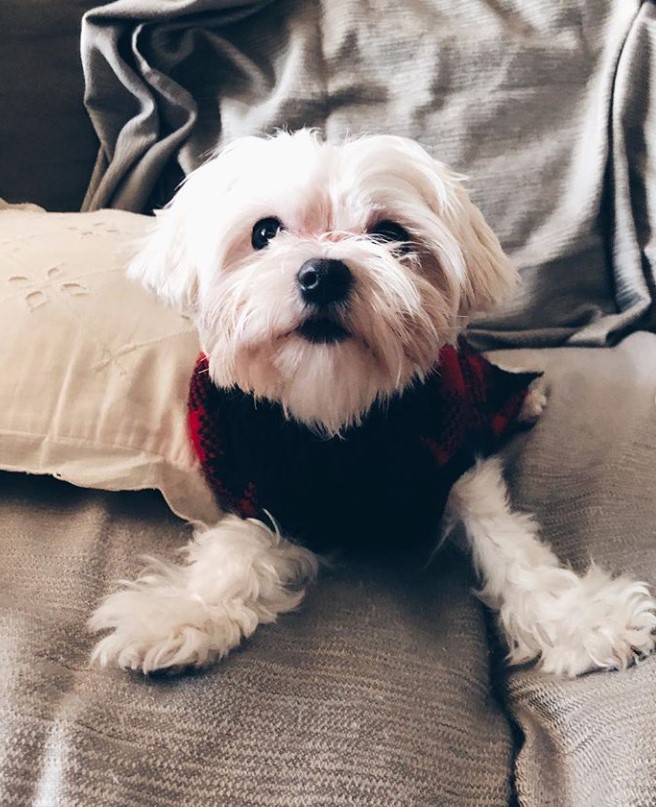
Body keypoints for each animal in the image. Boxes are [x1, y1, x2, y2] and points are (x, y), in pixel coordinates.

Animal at [91, 129, 656, 680]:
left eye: (389, 234)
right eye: (264, 233)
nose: (322, 273)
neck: (338, 410)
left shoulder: (458, 466)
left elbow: (511, 545)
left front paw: (581, 619)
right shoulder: (261, 489)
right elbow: (234, 548)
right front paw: (184, 611)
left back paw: (528, 399)